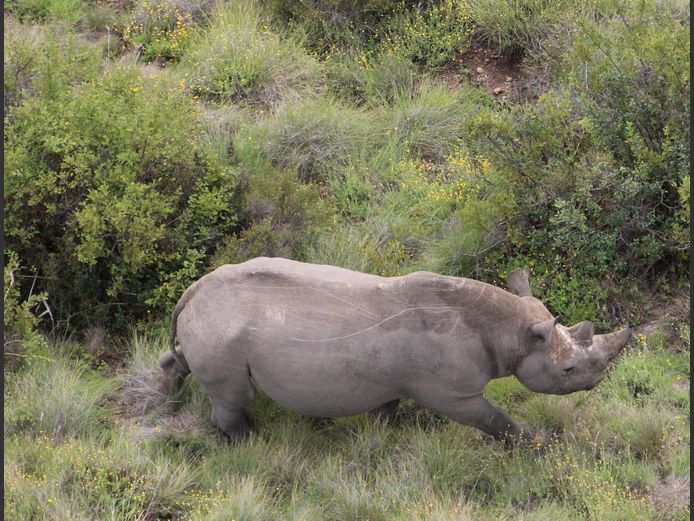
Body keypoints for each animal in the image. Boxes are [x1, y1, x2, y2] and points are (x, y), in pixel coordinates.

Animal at [158, 257, 631, 447]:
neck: (510, 331)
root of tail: (193, 291)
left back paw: (165, 399)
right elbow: (494, 419)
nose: (598, 381)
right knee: (233, 396)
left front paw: (378, 444)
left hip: (211, 321)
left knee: (181, 360)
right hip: (223, 334)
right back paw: (252, 442)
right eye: (568, 370)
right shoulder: (452, 393)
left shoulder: (389, 383)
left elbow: (383, 416)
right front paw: (535, 442)